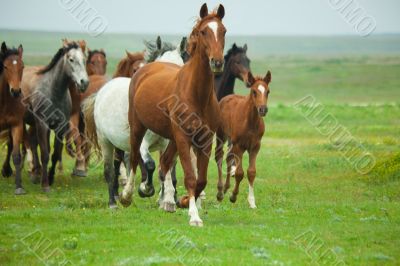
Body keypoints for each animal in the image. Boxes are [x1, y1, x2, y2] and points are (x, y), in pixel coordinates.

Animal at [216, 69, 272, 209]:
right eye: (254, 91)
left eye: (268, 91)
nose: (263, 109)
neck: (250, 122)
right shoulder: (239, 146)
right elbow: (239, 173)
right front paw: (233, 196)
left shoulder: (255, 146)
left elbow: (251, 172)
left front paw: (252, 201)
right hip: (221, 135)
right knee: (219, 157)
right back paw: (220, 192)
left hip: (231, 141)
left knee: (228, 157)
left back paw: (226, 187)